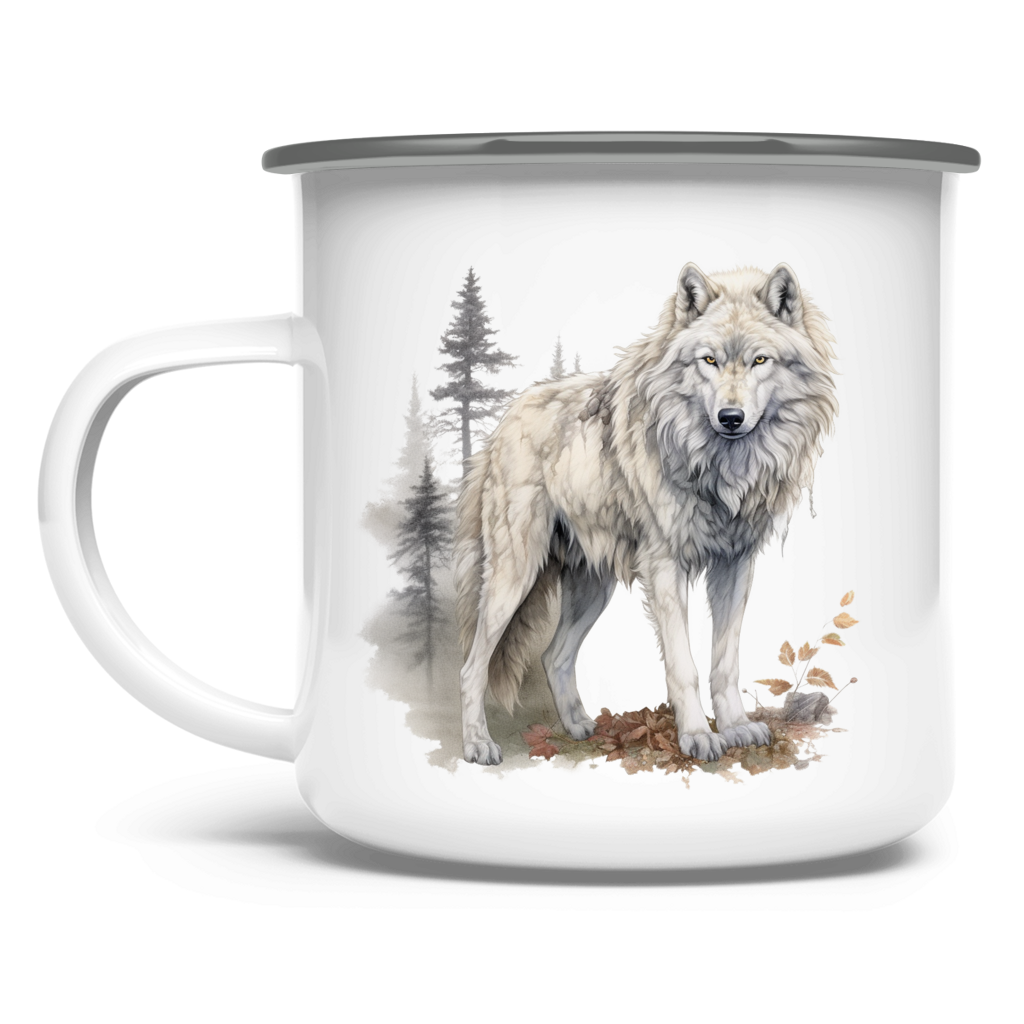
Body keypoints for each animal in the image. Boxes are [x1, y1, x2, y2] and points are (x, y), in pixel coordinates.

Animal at [455, 261, 841, 765]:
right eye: (709, 360)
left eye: (760, 360)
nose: (730, 417)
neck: (720, 469)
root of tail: (506, 419)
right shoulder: (665, 569)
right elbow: (684, 666)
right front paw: (698, 736)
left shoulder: (736, 567)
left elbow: (723, 663)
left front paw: (737, 728)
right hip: (514, 577)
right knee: (471, 666)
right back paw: (478, 744)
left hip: (593, 588)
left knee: (554, 655)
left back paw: (579, 728)